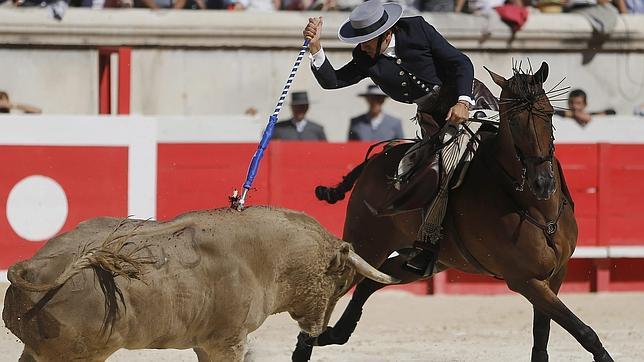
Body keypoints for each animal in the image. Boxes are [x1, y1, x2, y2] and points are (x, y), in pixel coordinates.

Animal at [2, 205, 398, 360]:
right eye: (342, 283)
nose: (319, 333)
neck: (264, 255)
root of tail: (35, 264)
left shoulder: (207, 343)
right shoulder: (227, 342)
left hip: (37, 350)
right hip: (75, 356)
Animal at [292, 62, 612, 362]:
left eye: (549, 114)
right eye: (513, 121)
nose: (543, 182)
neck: (538, 210)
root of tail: (375, 160)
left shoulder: (556, 273)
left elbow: (543, 333)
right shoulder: (524, 280)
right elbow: (582, 330)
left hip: (424, 259)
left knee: (374, 280)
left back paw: (333, 334)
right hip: (368, 243)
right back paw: (308, 343)